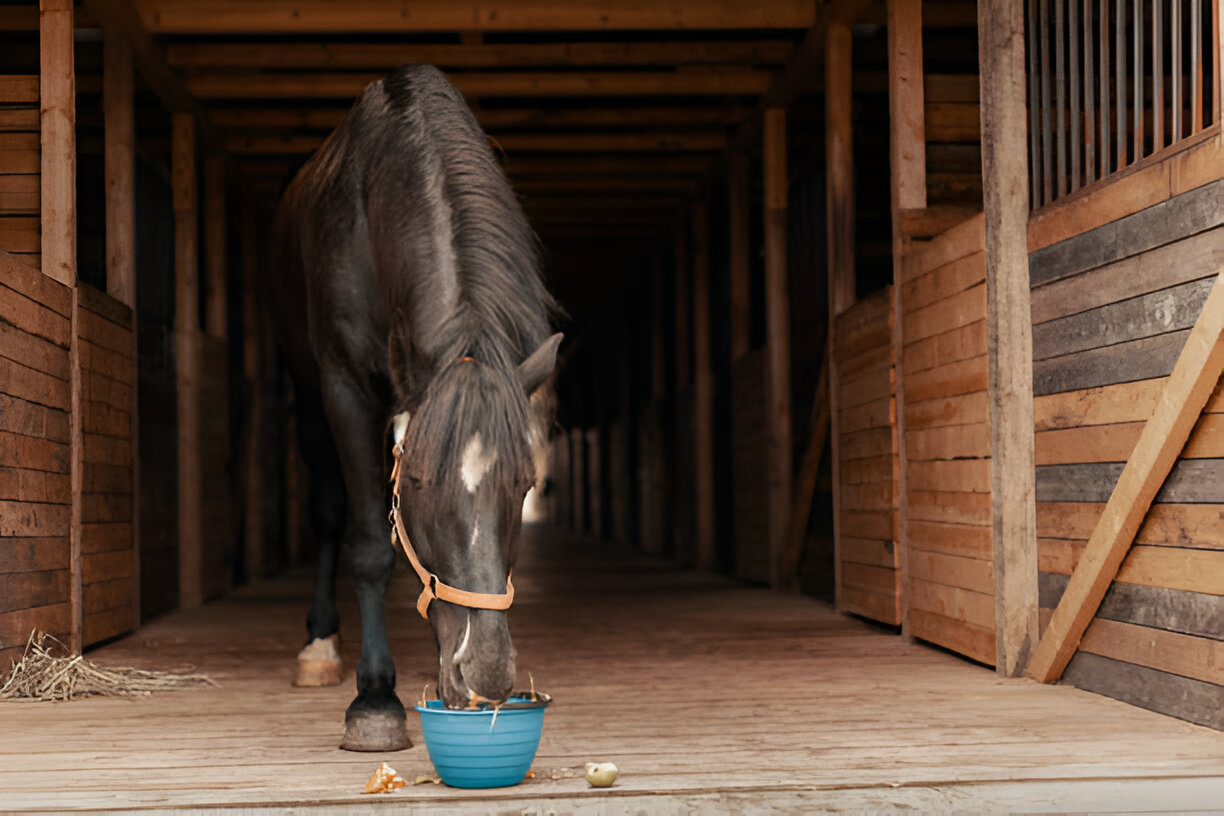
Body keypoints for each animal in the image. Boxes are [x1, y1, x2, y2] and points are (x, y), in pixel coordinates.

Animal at [267, 63, 561, 752]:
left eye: (525, 483)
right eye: (420, 481)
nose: (487, 673)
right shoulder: (346, 388)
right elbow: (372, 542)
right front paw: (375, 700)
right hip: (309, 392)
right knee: (329, 510)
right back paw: (320, 646)